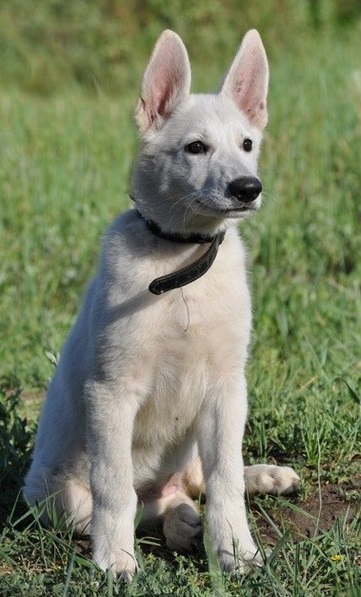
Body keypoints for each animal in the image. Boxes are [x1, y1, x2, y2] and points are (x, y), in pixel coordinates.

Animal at [24, 30, 298, 580]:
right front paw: (115, 563)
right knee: (140, 504)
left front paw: (238, 551)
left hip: (196, 441)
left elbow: (225, 482)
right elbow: (114, 492)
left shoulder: (226, 388)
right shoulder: (111, 392)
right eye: (196, 147)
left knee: (199, 482)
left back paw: (260, 480)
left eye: (248, 145)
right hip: (55, 497)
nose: (248, 188)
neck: (182, 264)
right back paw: (179, 525)